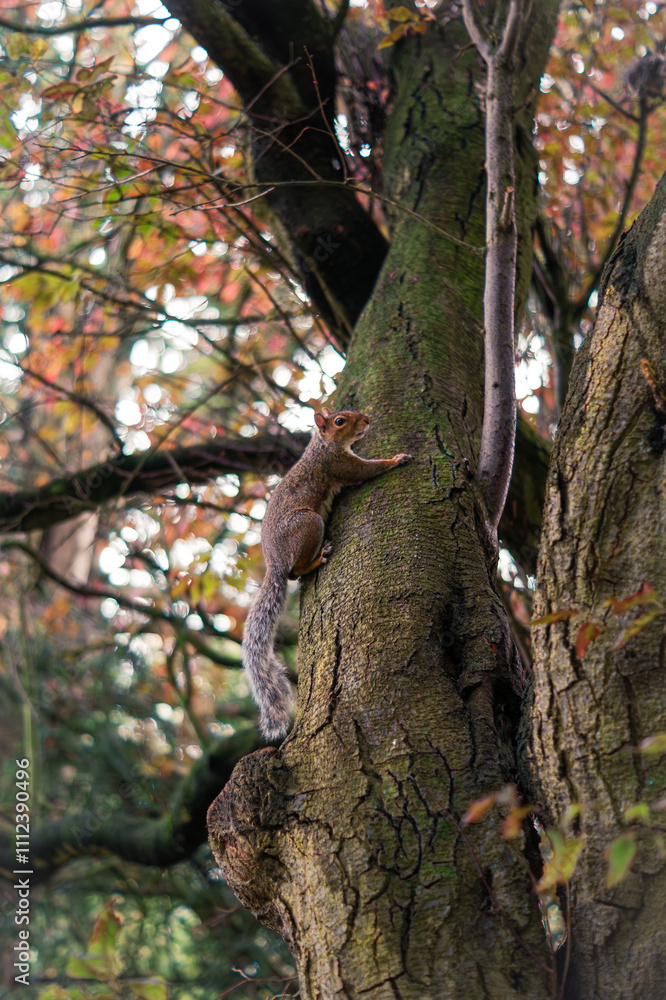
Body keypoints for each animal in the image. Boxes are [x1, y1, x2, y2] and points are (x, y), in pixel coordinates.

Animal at [242, 407, 412, 741]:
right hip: (308, 525)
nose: (367, 421)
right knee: (295, 572)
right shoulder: (339, 465)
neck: (322, 447)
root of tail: (274, 564)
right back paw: (317, 559)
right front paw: (396, 459)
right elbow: (365, 471)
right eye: (339, 421)